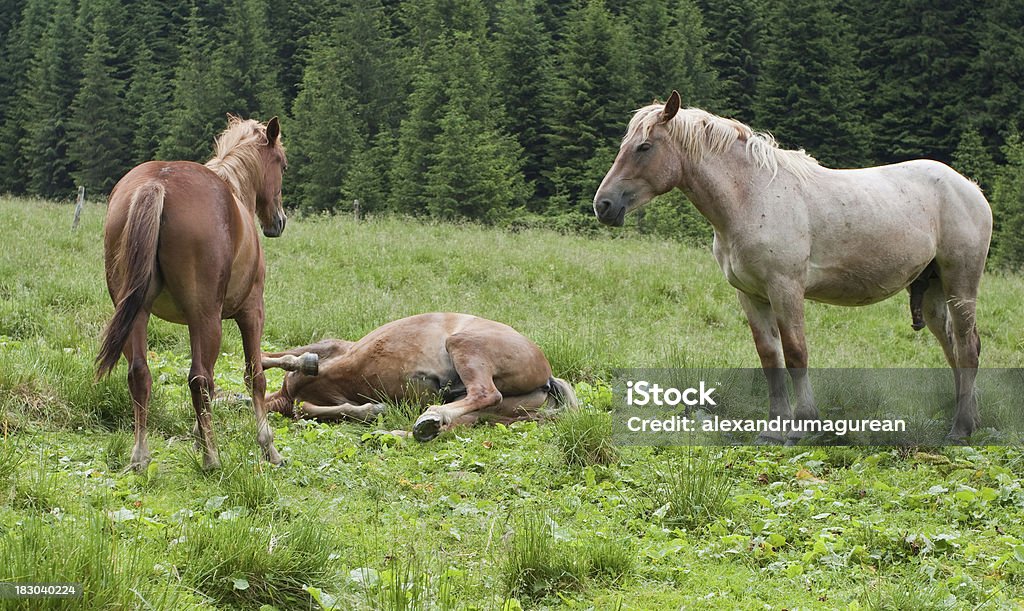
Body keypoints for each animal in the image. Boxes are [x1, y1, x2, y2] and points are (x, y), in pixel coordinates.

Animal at [96, 115, 288, 466]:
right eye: (282, 164)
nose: (278, 221)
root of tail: (158, 184)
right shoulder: (251, 312)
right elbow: (254, 376)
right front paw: (268, 447)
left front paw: (199, 437)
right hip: (207, 317)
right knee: (199, 379)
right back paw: (212, 458)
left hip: (136, 314)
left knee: (139, 373)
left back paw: (140, 456)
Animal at [258, 315, 577, 438]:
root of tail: (548, 376)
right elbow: (306, 407)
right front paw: (375, 411)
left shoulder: (332, 351)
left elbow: (277, 360)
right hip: (495, 413)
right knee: (460, 420)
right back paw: (410, 430)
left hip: (465, 345)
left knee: (485, 392)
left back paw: (430, 416)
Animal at [593, 90, 991, 440]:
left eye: (644, 147)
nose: (604, 205)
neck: (752, 197)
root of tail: (970, 188)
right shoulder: (751, 295)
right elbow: (770, 357)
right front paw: (773, 428)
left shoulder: (785, 288)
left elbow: (797, 352)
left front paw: (803, 425)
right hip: (933, 290)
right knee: (954, 349)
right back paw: (967, 421)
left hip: (960, 283)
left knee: (968, 346)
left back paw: (960, 430)